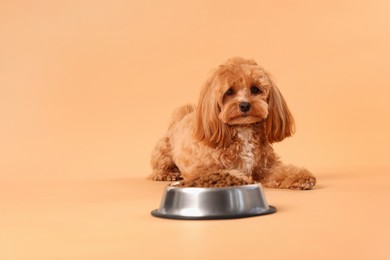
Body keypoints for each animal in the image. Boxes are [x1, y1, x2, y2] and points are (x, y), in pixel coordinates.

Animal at [149, 58, 316, 190]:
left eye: (255, 89)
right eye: (229, 91)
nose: (245, 105)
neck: (243, 130)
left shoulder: (266, 167)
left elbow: (282, 171)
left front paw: (301, 177)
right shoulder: (202, 169)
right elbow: (224, 172)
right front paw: (239, 179)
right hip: (163, 152)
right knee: (157, 169)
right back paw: (168, 174)